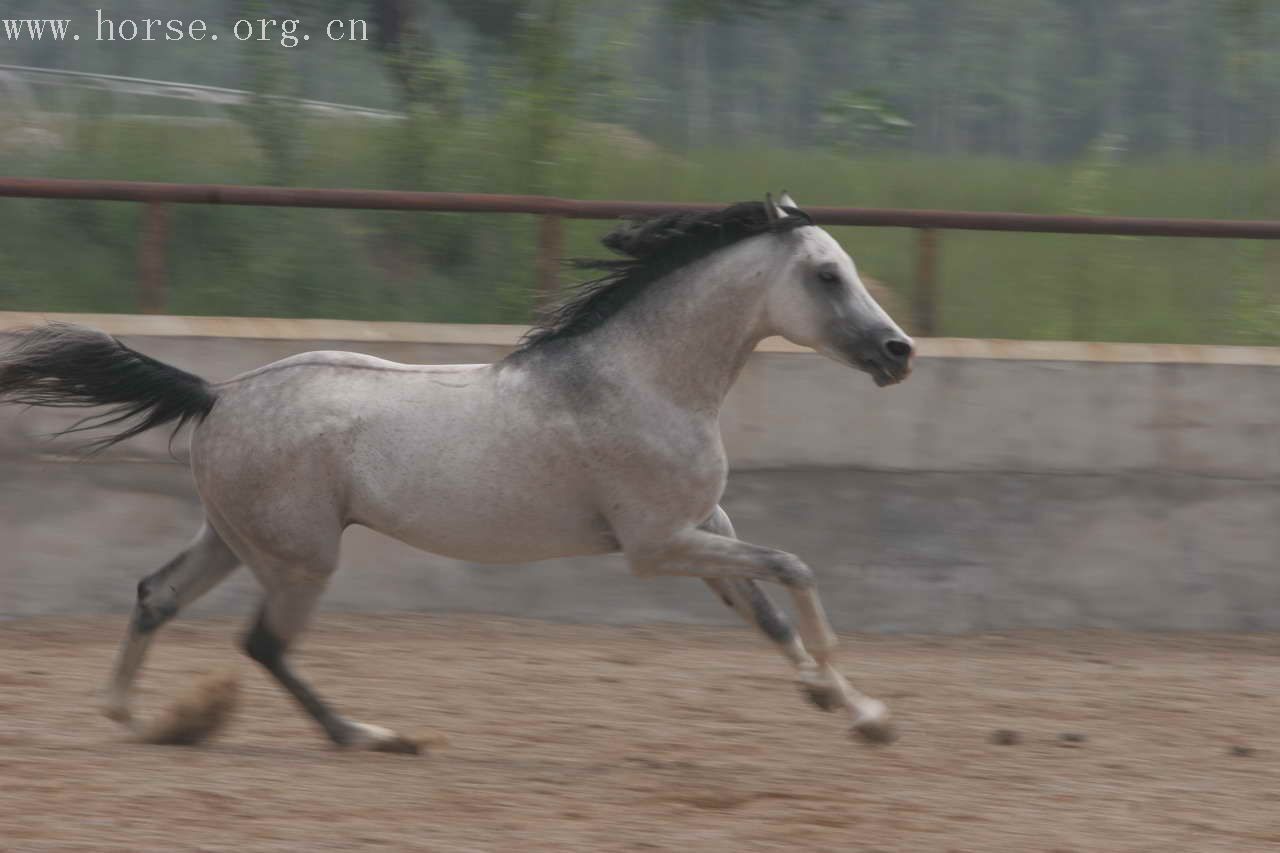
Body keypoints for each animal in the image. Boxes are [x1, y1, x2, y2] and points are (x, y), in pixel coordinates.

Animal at [2, 192, 921, 753]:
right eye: (827, 273)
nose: (898, 352)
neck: (643, 379)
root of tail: (219, 393)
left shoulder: (703, 532)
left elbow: (768, 613)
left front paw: (853, 709)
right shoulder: (658, 545)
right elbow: (795, 568)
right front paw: (856, 702)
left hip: (235, 539)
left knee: (157, 595)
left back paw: (129, 713)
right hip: (302, 558)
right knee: (263, 642)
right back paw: (371, 736)